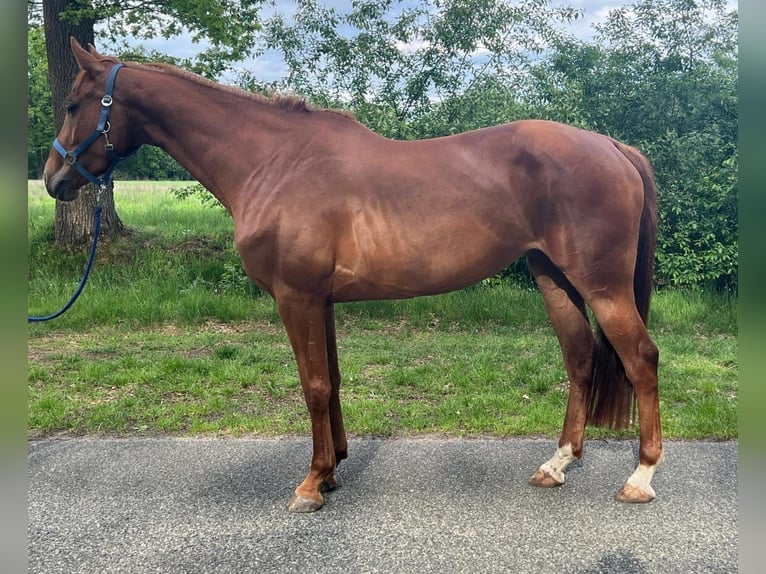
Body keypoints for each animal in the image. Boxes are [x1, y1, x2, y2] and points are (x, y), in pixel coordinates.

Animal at [43, 38, 663, 512]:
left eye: (73, 105)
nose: (54, 180)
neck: (273, 163)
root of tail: (613, 147)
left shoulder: (296, 297)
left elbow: (313, 386)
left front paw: (311, 484)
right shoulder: (320, 301)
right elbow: (333, 381)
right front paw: (334, 467)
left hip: (601, 286)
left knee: (640, 358)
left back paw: (641, 477)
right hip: (553, 277)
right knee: (580, 357)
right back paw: (556, 464)